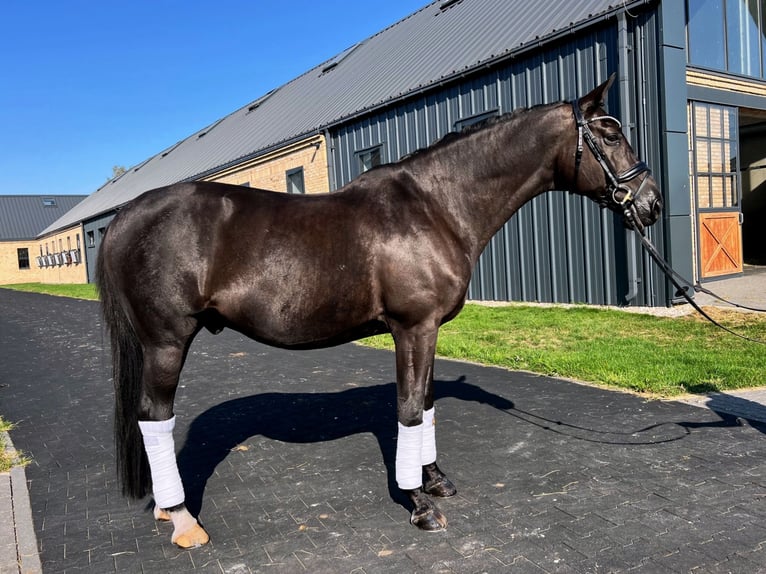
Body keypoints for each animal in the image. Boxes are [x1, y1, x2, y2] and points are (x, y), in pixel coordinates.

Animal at [97, 76, 664, 548]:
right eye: (610, 134)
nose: (652, 202)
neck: (435, 206)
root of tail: (125, 217)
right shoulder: (412, 329)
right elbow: (410, 410)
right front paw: (418, 504)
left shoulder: (428, 332)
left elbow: (427, 404)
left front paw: (435, 482)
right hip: (167, 342)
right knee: (155, 417)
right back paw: (183, 520)